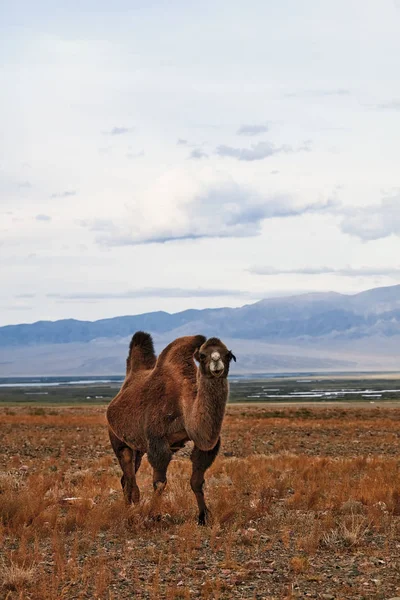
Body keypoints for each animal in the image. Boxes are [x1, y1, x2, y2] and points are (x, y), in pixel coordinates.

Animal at [108, 332, 236, 524]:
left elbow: (197, 481)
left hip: (138, 449)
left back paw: (129, 508)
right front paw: (153, 515)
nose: (216, 363)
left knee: (126, 478)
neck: (184, 407)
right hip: (119, 441)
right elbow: (159, 483)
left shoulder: (202, 443)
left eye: (227, 355)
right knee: (130, 477)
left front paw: (203, 517)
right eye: (203, 355)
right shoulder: (157, 440)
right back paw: (133, 511)